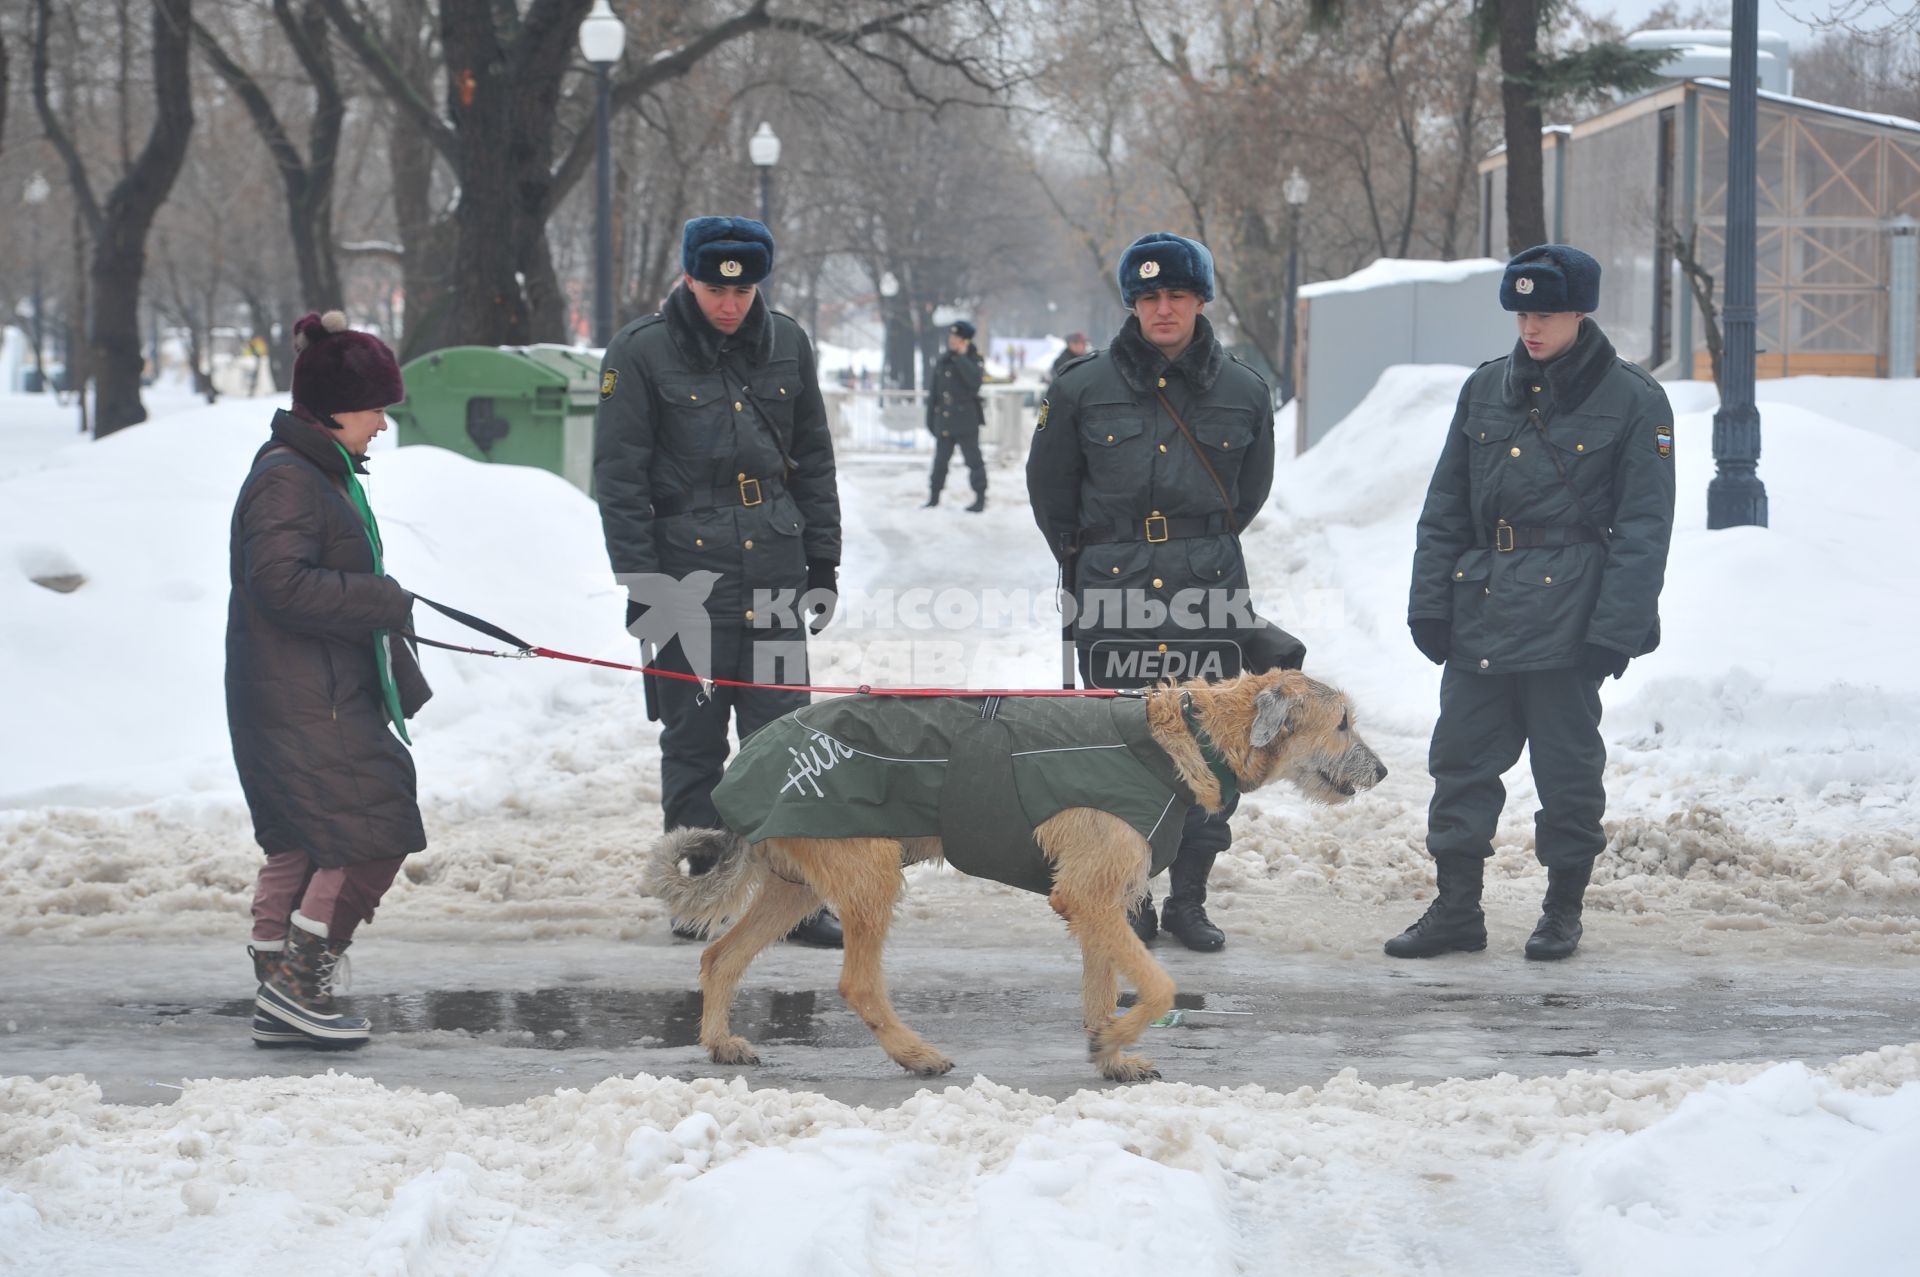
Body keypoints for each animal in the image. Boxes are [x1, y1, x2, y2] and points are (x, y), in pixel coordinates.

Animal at [652, 668, 1390, 1075]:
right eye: (1343, 722)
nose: (1382, 770)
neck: (1193, 736)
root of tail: (745, 765)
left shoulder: (1102, 899)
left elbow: (1103, 979)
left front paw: (1109, 1052)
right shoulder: (1088, 892)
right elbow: (1157, 984)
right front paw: (1118, 1036)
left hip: (798, 879)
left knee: (720, 955)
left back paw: (720, 1041)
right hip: (868, 866)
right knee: (857, 981)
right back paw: (914, 1053)